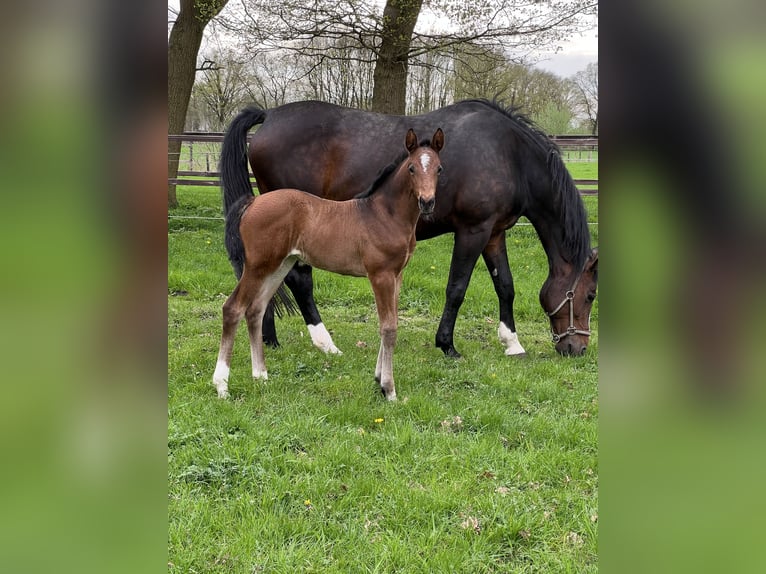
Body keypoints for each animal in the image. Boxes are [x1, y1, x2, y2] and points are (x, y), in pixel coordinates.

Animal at [213, 129, 448, 402]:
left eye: (439, 168)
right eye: (411, 168)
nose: (427, 202)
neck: (384, 215)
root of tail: (252, 202)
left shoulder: (397, 275)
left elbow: (388, 323)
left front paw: (378, 379)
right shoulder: (381, 275)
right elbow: (389, 328)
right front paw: (389, 390)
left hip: (279, 264)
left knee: (256, 309)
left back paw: (261, 376)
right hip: (257, 265)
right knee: (233, 308)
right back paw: (222, 385)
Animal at [222, 99, 600, 360]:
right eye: (591, 295)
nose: (578, 348)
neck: (508, 154)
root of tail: (270, 115)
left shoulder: (494, 232)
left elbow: (505, 286)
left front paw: (512, 343)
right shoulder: (472, 231)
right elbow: (456, 288)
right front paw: (447, 345)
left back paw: (269, 338)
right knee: (299, 280)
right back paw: (324, 342)